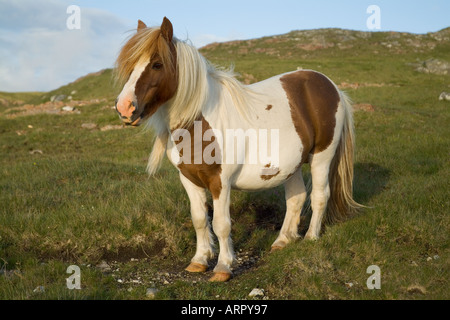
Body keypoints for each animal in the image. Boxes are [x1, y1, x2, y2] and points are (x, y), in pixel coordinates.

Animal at [115, 18, 362, 282]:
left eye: (157, 64)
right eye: (130, 64)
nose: (124, 108)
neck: (198, 122)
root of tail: (331, 86)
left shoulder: (219, 181)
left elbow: (221, 224)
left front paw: (223, 267)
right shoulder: (189, 179)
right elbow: (199, 219)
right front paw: (199, 260)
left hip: (321, 157)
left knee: (319, 196)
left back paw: (311, 237)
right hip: (292, 165)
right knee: (296, 198)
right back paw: (283, 241)